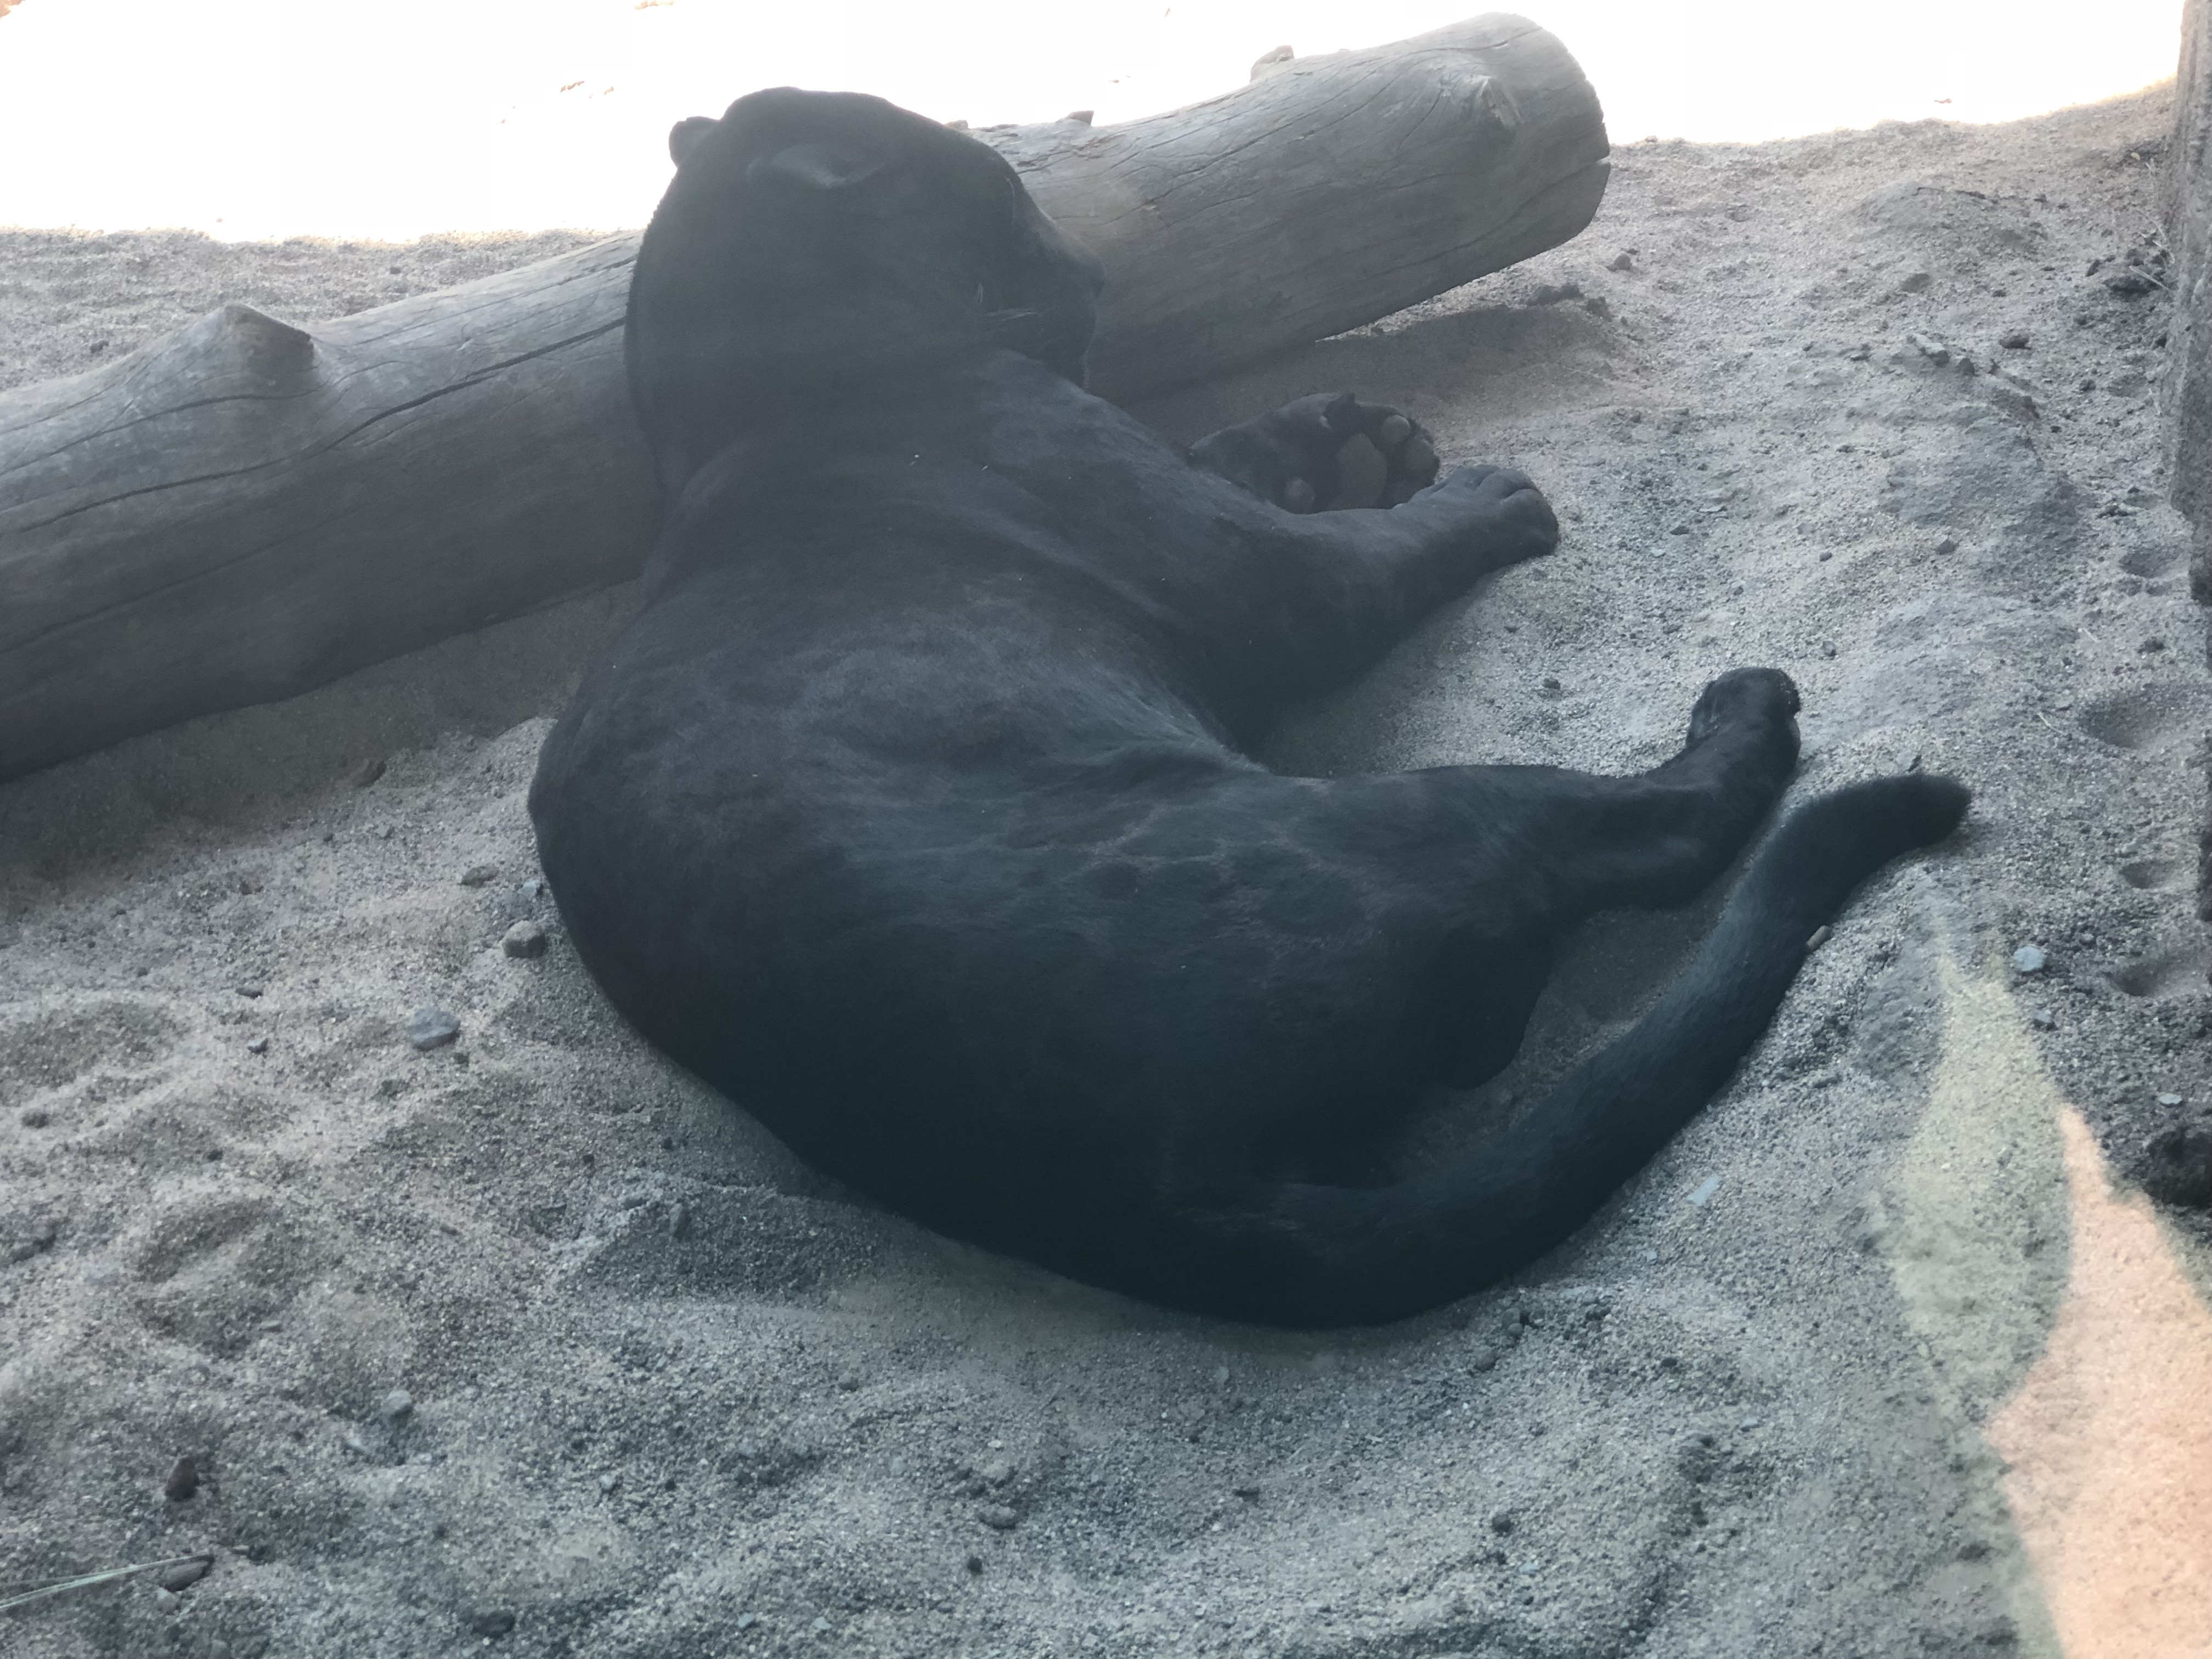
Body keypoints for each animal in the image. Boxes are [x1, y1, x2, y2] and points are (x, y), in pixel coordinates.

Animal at [528, 88, 1969, 1326]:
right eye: (1002, 201)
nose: (1094, 277)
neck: (769, 394)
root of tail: (1163, 1176)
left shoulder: (1184, 488)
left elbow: (1223, 452)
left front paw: (1345, 438)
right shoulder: (1268, 581)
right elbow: (1374, 552)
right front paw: (1476, 494)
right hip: (1424, 814)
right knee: (1661, 836)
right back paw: (1758, 720)